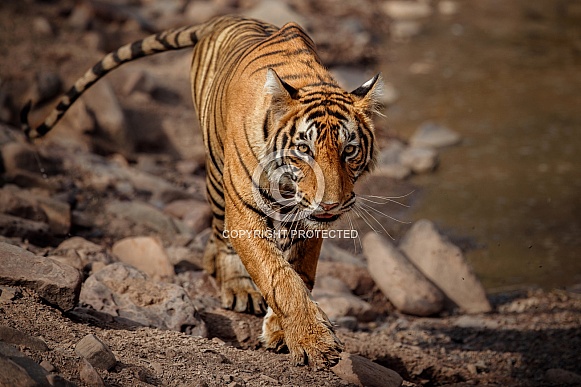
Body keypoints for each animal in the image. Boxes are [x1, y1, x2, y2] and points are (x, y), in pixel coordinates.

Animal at [22, 14, 382, 366]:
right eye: (304, 149)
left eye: (349, 150)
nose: (330, 205)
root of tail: (223, 19)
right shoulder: (246, 210)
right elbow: (278, 276)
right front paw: (313, 342)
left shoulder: (306, 222)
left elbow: (299, 272)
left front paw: (281, 331)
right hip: (218, 178)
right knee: (219, 234)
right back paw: (237, 287)